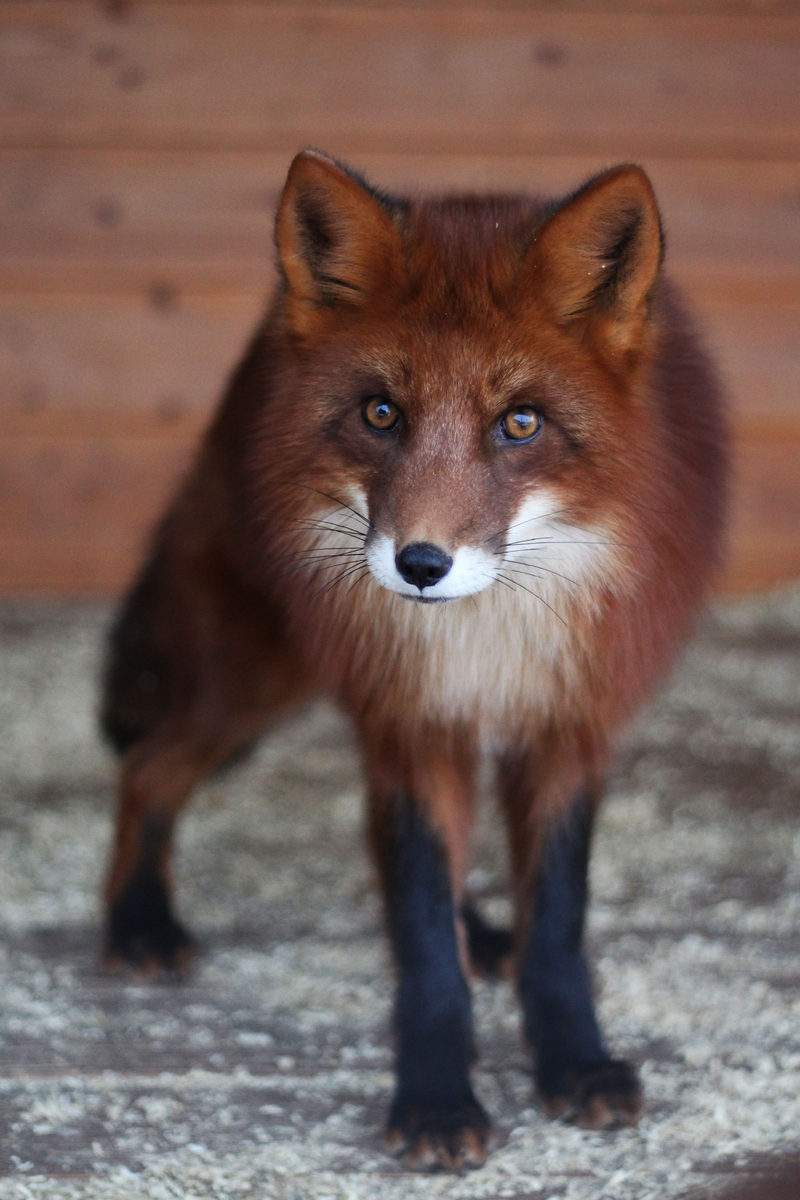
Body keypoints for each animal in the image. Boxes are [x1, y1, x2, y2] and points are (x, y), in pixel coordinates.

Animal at [98, 150, 724, 1171]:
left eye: (520, 423)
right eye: (382, 412)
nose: (420, 565)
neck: (482, 636)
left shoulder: (567, 720)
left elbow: (556, 921)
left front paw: (573, 1062)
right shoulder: (410, 716)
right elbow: (423, 929)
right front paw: (435, 1098)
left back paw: (488, 934)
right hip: (260, 669)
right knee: (149, 767)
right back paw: (138, 921)